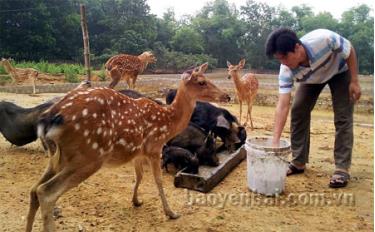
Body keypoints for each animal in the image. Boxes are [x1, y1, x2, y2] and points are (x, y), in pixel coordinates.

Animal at [26, 62, 231, 231]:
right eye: (202, 82)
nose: (227, 95)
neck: (168, 123)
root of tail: (49, 119)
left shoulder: (138, 152)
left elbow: (139, 176)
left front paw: (136, 201)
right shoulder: (155, 147)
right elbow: (158, 181)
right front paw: (171, 213)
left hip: (57, 157)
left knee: (34, 189)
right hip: (89, 155)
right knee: (46, 192)